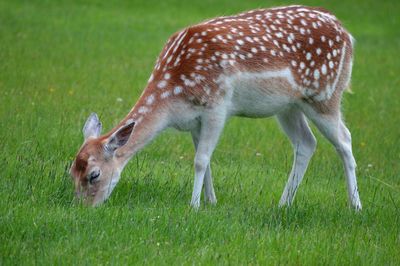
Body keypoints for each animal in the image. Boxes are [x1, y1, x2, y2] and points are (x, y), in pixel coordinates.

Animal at [69, 4, 362, 210]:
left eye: (94, 174)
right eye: (71, 170)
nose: (84, 208)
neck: (173, 95)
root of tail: (348, 34)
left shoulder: (217, 106)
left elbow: (200, 160)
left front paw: (193, 205)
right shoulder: (193, 120)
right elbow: (205, 159)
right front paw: (211, 202)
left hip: (325, 94)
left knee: (345, 139)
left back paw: (355, 206)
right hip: (288, 106)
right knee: (306, 142)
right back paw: (283, 204)